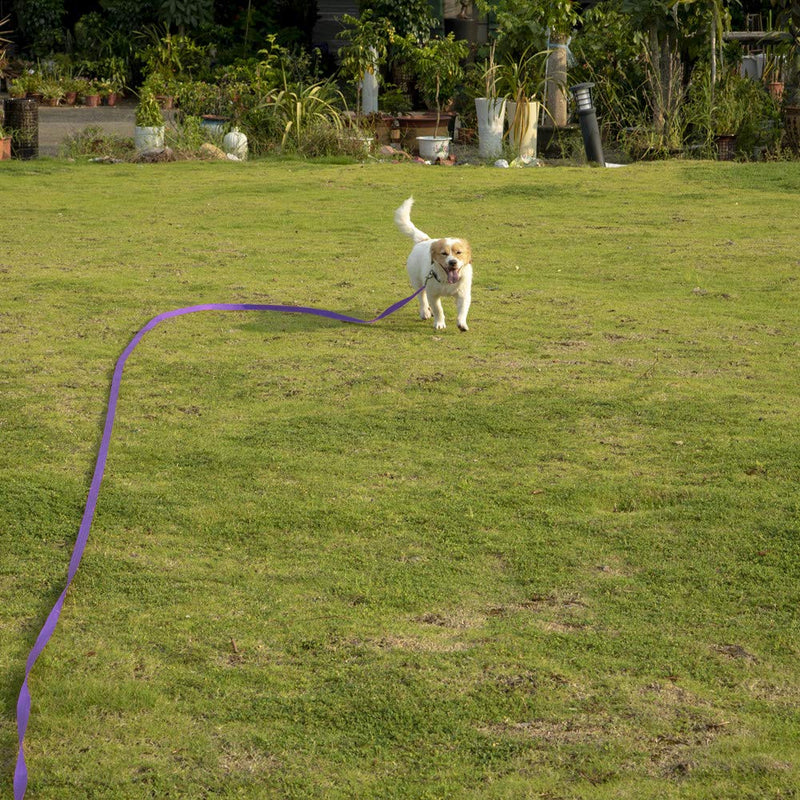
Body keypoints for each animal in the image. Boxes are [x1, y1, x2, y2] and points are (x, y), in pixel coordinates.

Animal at [396, 197, 472, 332]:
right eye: (444, 253)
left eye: (459, 252)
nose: (452, 262)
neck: (447, 281)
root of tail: (423, 240)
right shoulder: (433, 294)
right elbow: (438, 309)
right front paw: (439, 323)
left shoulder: (464, 294)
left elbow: (462, 311)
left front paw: (462, 324)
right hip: (418, 282)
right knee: (422, 298)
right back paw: (425, 312)